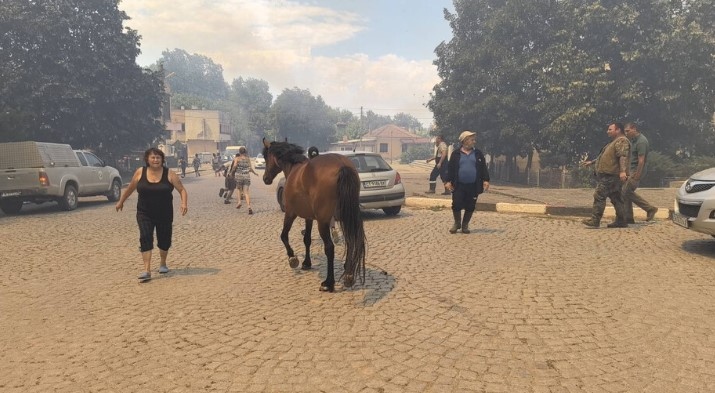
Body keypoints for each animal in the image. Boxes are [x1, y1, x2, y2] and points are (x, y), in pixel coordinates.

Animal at [262, 139, 366, 290]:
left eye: (265, 157)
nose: (265, 178)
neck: (294, 168)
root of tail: (342, 165)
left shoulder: (290, 213)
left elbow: (284, 235)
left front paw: (292, 258)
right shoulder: (309, 217)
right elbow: (307, 239)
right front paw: (306, 262)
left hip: (323, 222)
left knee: (330, 247)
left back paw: (328, 283)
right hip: (345, 217)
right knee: (350, 240)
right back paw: (348, 273)